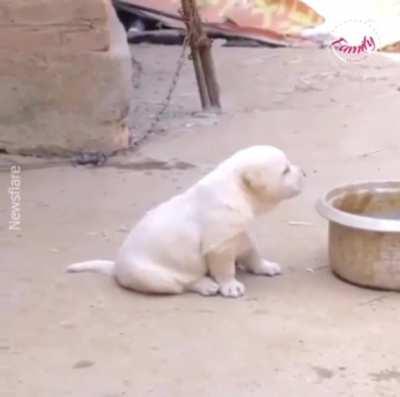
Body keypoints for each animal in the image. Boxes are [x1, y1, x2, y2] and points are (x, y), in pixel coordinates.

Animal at [66, 145, 304, 296]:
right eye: (285, 170)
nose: (304, 172)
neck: (237, 189)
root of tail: (116, 267)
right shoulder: (220, 246)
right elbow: (225, 268)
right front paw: (231, 286)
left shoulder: (239, 233)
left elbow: (252, 252)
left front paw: (265, 266)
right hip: (152, 276)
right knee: (182, 283)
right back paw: (207, 285)